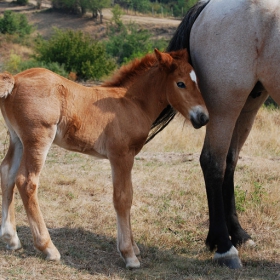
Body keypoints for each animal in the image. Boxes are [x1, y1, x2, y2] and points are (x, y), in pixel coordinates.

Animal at [0, 49, 209, 268]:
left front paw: (133, 246)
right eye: (180, 83)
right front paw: (129, 254)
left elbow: (129, 195)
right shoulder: (121, 155)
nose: (203, 117)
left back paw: (11, 239)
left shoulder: (127, 157)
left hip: (18, 139)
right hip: (38, 139)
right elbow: (123, 198)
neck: (132, 103)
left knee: (7, 172)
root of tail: (15, 79)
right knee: (26, 181)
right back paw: (48, 248)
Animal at [155, 0, 280, 270]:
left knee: (228, 162)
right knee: (212, 162)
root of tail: (208, 5)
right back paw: (225, 247)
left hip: (248, 103)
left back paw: (237, 236)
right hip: (225, 104)